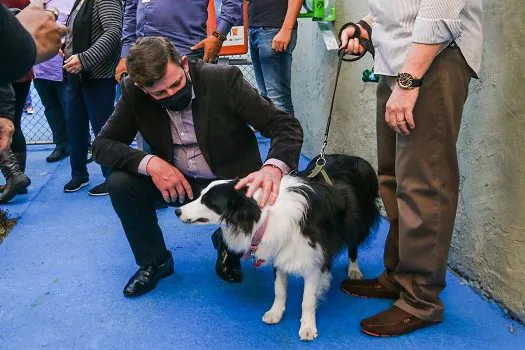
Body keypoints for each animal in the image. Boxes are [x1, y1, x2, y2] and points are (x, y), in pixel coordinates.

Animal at [176, 154, 376, 340]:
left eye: (208, 202)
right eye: (201, 196)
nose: (177, 211)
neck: (262, 214)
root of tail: (352, 156)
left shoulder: (314, 261)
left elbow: (307, 300)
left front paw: (307, 327)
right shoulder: (279, 251)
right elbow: (279, 290)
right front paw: (275, 313)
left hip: (357, 222)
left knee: (353, 245)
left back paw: (354, 269)